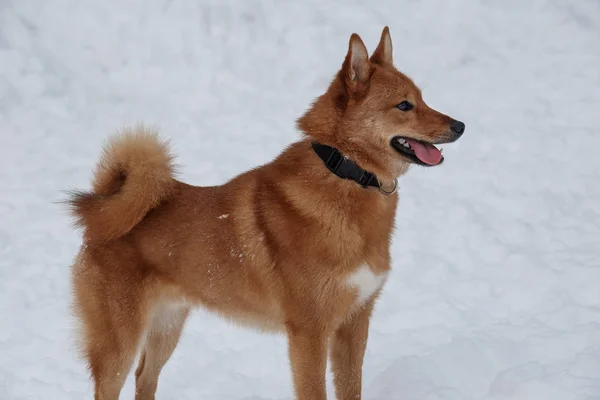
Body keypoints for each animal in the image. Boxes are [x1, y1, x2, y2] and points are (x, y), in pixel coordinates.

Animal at [68, 26, 466, 398]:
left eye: (422, 98)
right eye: (404, 106)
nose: (460, 126)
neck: (345, 173)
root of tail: (101, 211)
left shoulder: (354, 323)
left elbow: (351, 388)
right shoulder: (309, 332)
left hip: (167, 326)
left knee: (145, 378)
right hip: (119, 344)